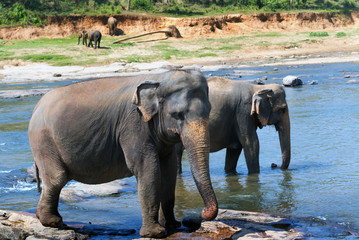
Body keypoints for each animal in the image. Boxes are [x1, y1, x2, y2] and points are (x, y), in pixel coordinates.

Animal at [27, 69, 219, 238]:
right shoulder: (134, 125)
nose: (202, 214)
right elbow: (147, 169)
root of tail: (36, 107)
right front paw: (156, 233)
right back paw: (53, 222)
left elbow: (168, 169)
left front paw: (172, 226)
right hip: (43, 142)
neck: (158, 78)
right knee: (57, 178)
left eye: (209, 110)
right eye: (177, 115)